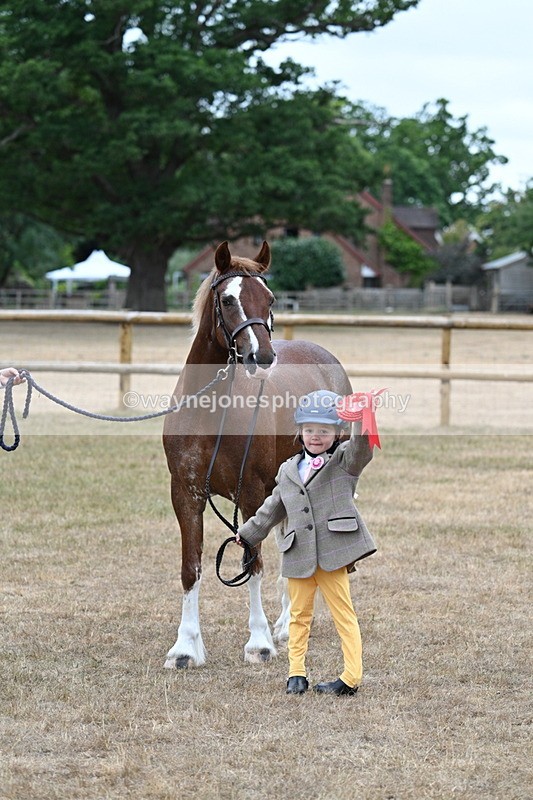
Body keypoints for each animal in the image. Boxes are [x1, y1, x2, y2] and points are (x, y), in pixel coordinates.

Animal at [162, 240, 352, 668]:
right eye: (228, 299)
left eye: (270, 299)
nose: (261, 356)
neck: (211, 413)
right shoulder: (185, 494)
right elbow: (190, 567)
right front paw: (185, 648)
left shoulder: (250, 493)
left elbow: (253, 564)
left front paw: (259, 642)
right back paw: (286, 623)